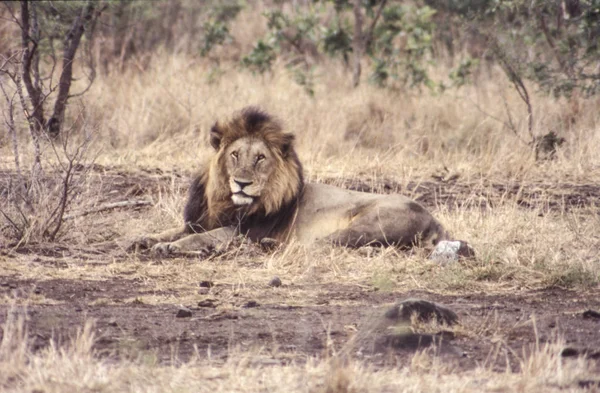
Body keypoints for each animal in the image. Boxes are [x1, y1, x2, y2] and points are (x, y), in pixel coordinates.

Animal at [136, 105, 468, 258]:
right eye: (235, 155)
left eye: (260, 158)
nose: (242, 183)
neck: (226, 202)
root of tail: (436, 220)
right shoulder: (200, 220)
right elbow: (177, 230)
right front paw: (144, 239)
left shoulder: (242, 230)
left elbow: (202, 237)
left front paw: (170, 247)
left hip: (370, 222)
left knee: (320, 245)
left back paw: (268, 246)